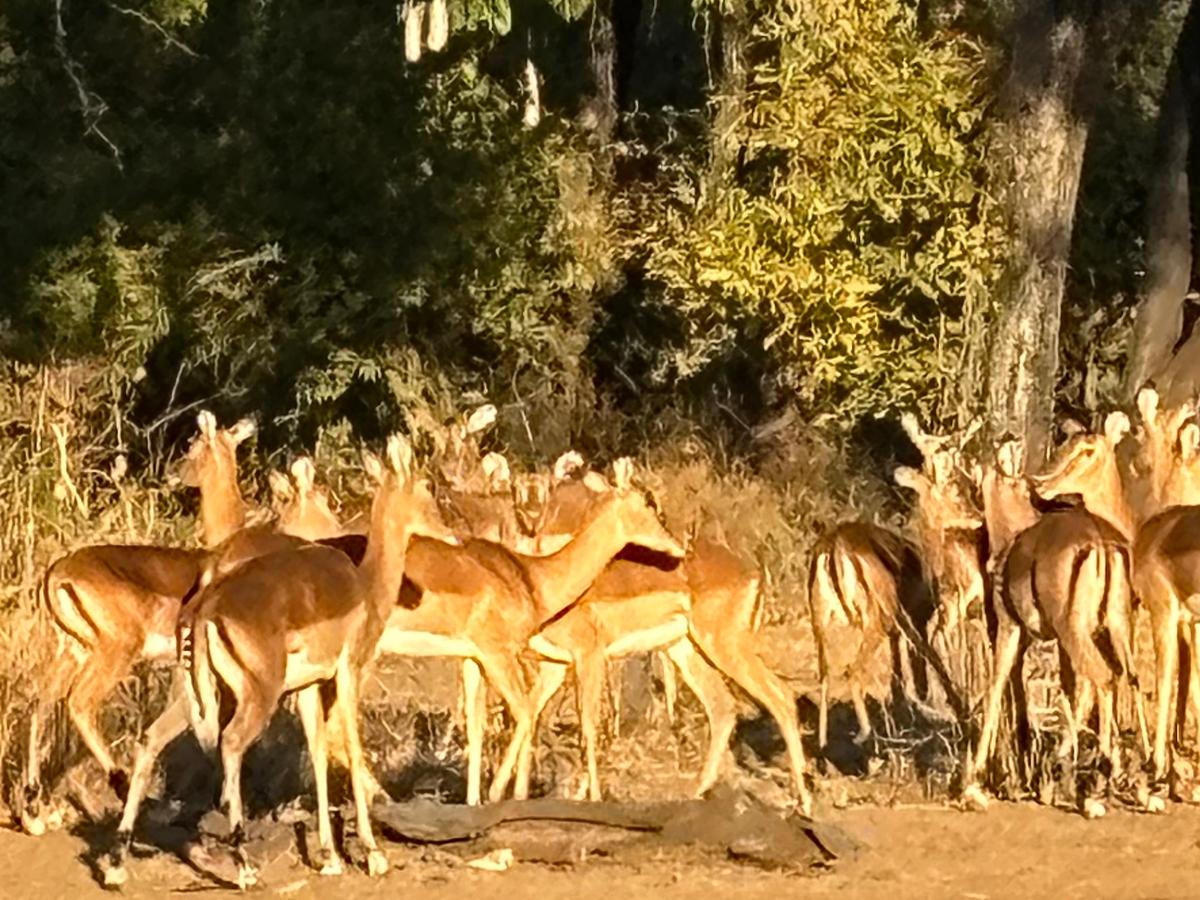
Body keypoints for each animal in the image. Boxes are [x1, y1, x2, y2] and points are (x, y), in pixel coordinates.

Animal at [19, 411, 256, 835]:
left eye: (192, 444)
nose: (172, 474)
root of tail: (57, 573)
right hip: (113, 653)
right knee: (78, 702)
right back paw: (120, 784)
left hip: (73, 652)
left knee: (41, 703)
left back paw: (34, 809)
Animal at [179, 436, 460, 887]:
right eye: (425, 489)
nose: (451, 536)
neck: (365, 584)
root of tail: (208, 606)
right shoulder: (347, 673)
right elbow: (353, 746)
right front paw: (373, 853)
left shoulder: (310, 687)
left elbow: (317, 750)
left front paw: (329, 856)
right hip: (260, 696)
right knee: (233, 743)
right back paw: (244, 866)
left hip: (219, 697)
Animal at [963, 414, 1144, 817]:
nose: (1042, 483)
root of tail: (1102, 544)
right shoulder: (1059, 642)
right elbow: (1065, 691)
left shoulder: (1011, 629)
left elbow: (996, 687)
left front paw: (973, 784)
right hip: (1115, 627)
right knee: (1131, 678)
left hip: (1075, 631)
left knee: (1105, 678)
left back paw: (1098, 782)